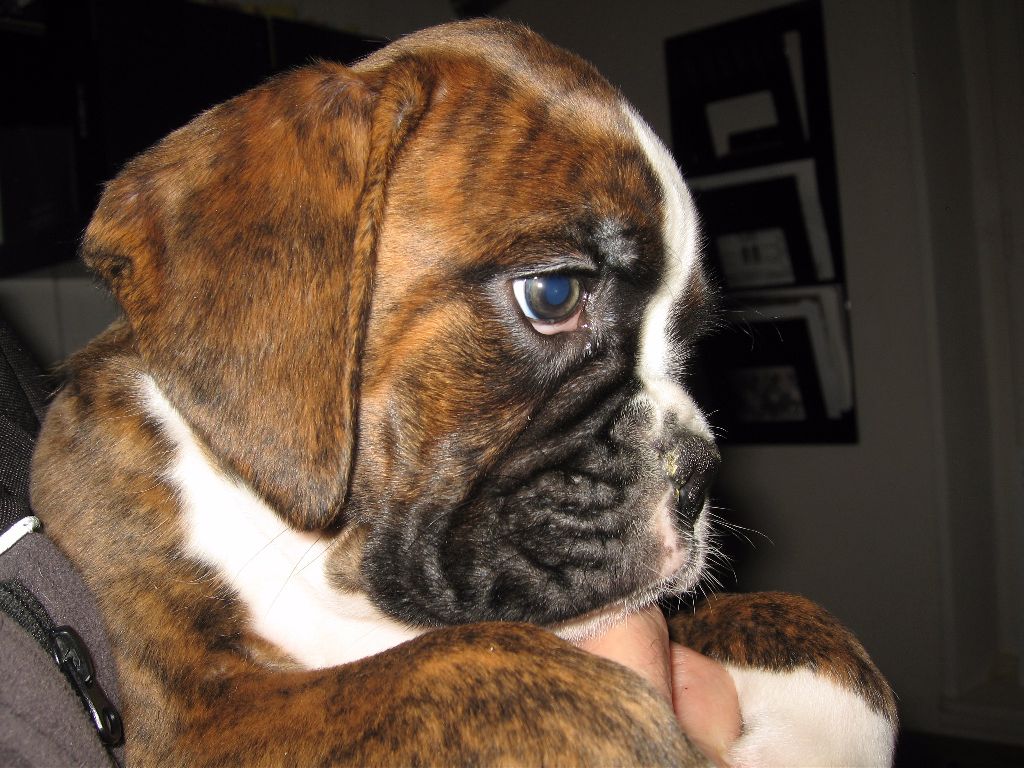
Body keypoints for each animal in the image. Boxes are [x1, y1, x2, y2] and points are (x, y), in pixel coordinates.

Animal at [31, 20, 896, 766]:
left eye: (688, 335)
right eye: (552, 294)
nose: (699, 473)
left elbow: (785, 617)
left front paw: (825, 717)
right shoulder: (196, 714)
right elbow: (501, 673)